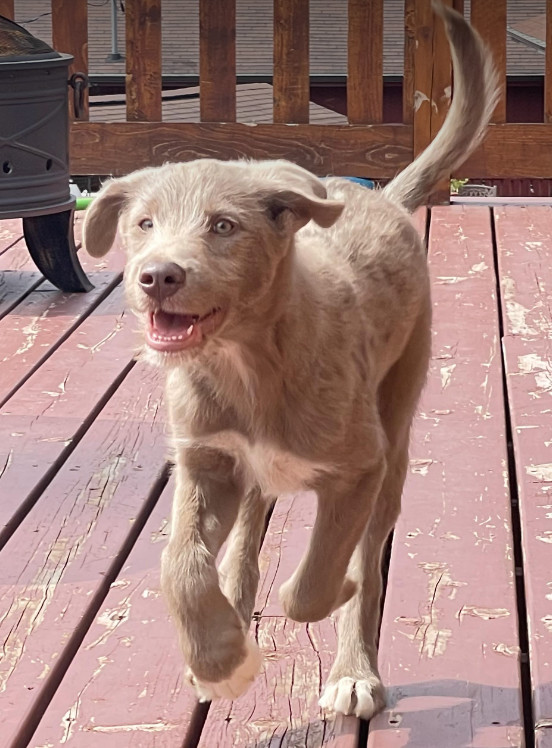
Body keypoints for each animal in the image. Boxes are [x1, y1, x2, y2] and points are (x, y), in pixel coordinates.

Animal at [83, 2, 500, 720]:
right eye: (143, 223)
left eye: (223, 226)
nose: (156, 277)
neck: (247, 365)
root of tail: (381, 196)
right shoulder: (205, 461)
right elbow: (179, 564)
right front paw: (219, 661)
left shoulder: (360, 468)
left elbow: (319, 580)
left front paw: (319, 604)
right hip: (254, 476)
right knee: (246, 543)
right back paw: (235, 604)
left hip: (396, 437)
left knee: (365, 560)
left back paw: (354, 669)